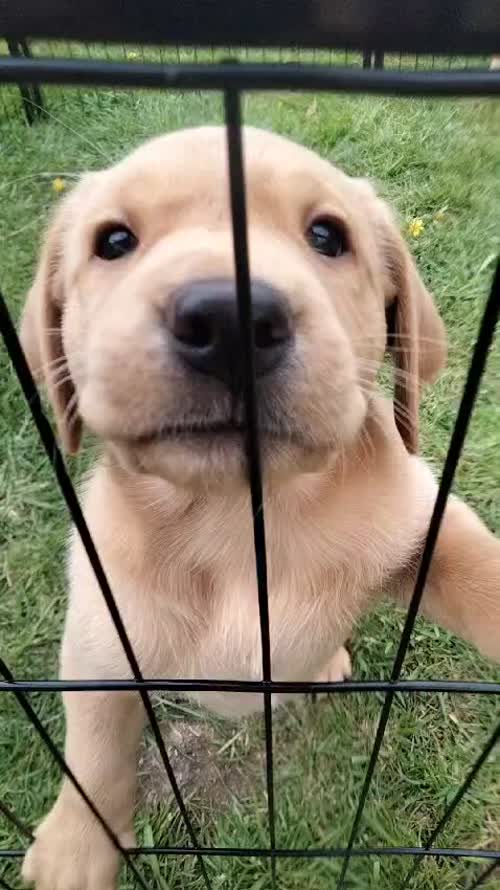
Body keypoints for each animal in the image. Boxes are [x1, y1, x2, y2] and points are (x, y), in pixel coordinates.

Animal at [20, 126, 500, 888]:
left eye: (328, 235)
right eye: (114, 241)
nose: (228, 319)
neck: (239, 516)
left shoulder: (424, 523)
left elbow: (484, 569)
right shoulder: (99, 633)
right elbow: (92, 743)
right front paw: (75, 846)